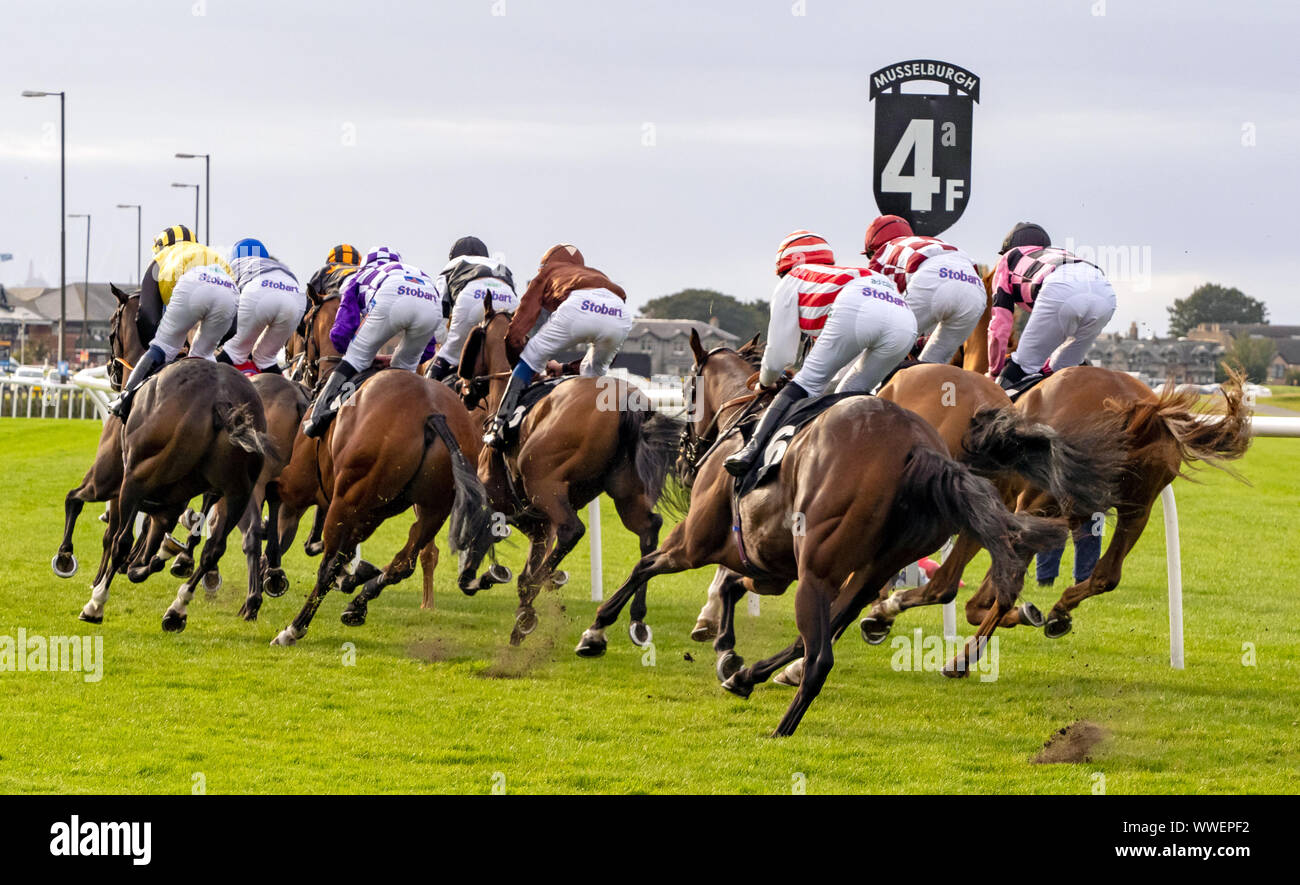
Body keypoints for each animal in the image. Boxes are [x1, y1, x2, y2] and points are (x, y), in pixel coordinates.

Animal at [267, 369, 496, 644]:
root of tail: (434, 414)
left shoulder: (297, 488)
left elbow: (275, 512)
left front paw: (271, 574)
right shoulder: (368, 515)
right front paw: (355, 576)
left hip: (347, 501)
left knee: (328, 568)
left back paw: (293, 628)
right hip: (433, 510)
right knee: (404, 562)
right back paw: (357, 605)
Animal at [460, 301, 681, 641]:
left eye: (472, 336)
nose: (462, 386)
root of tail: (624, 403)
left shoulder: (503, 503)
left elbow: (477, 558)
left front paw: (491, 578)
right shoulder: (536, 521)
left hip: (544, 483)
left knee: (572, 530)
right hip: (627, 492)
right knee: (649, 530)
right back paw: (632, 619)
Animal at [579, 337, 1066, 738]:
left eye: (689, 391)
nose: (685, 455)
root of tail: (918, 450)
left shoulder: (695, 543)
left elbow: (645, 567)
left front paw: (598, 631)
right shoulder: (770, 565)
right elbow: (734, 585)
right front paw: (728, 654)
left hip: (816, 572)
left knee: (820, 658)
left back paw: (781, 728)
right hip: (868, 572)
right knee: (822, 633)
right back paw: (755, 675)